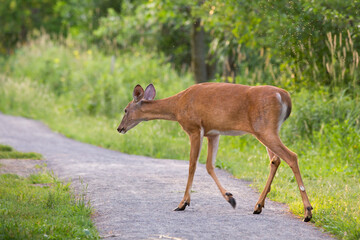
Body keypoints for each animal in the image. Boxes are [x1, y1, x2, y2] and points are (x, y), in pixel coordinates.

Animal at [117, 82, 312, 221]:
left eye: (125, 109)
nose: (119, 128)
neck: (177, 106)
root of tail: (285, 96)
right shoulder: (213, 132)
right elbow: (210, 165)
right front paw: (230, 197)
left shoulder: (194, 129)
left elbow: (192, 165)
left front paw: (182, 203)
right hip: (266, 130)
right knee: (275, 160)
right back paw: (258, 206)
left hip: (265, 129)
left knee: (291, 156)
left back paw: (308, 212)